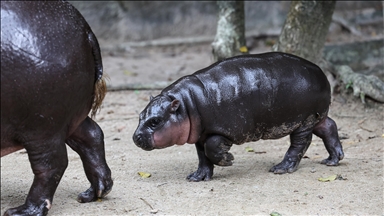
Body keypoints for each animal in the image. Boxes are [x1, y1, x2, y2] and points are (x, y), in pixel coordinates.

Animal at [1, 0, 112, 215]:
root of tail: (86, 30)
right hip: (68, 117)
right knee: (92, 136)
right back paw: (93, 193)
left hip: (40, 126)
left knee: (52, 165)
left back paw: (22, 211)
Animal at [133, 51, 344, 181]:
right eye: (140, 115)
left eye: (155, 121)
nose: (135, 137)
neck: (186, 104)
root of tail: (321, 73)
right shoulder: (200, 135)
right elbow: (202, 156)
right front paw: (197, 177)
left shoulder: (227, 131)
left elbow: (212, 148)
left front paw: (229, 159)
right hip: (316, 117)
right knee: (329, 126)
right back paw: (333, 160)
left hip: (304, 120)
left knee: (300, 143)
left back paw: (281, 168)